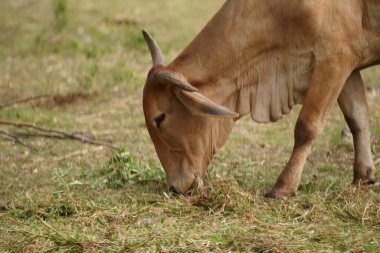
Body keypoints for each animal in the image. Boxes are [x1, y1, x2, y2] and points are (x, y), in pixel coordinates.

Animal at [141, 0, 378, 198]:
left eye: (160, 119)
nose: (174, 187)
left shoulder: (334, 58)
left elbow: (306, 127)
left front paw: (283, 187)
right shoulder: (348, 65)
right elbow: (358, 119)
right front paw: (363, 177)